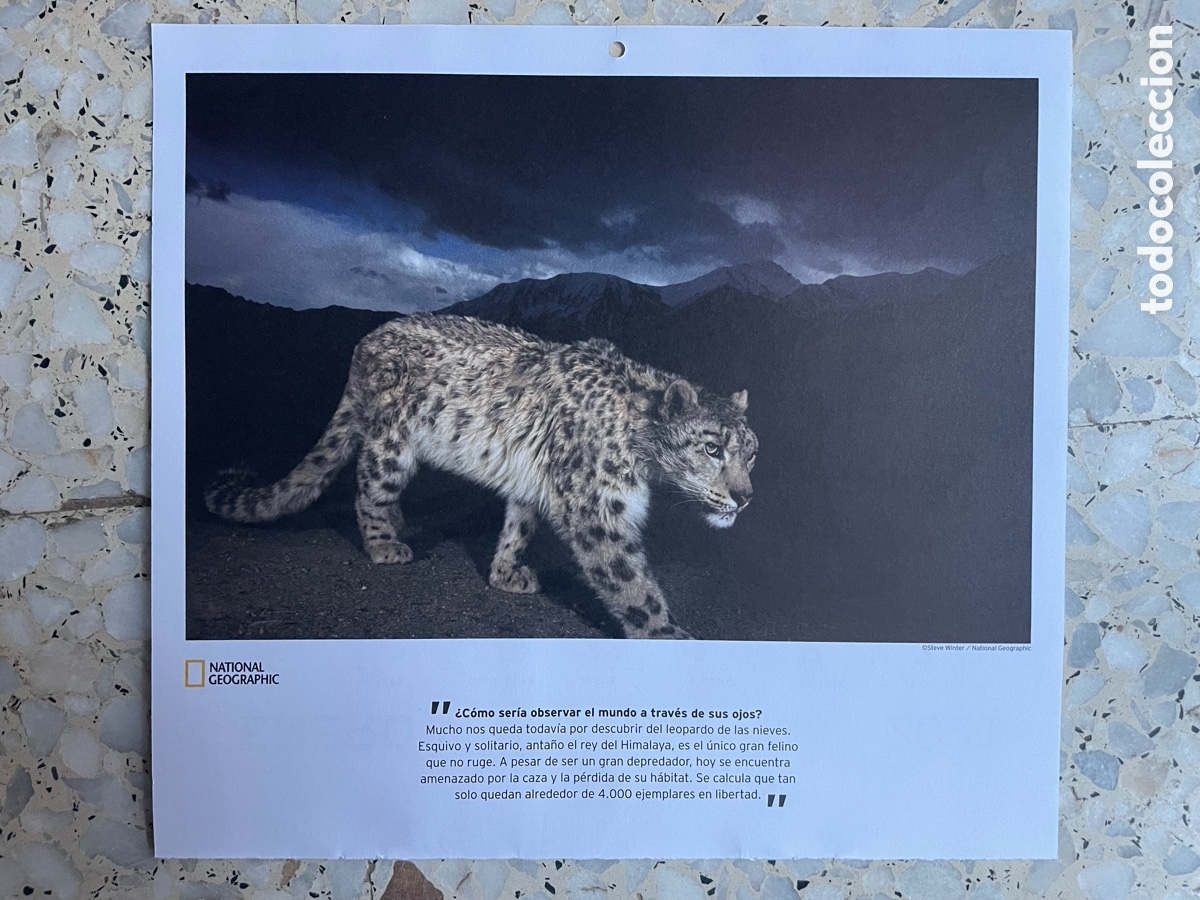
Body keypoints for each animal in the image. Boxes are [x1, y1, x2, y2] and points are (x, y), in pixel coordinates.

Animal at [204, 313, 757, 639]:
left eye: (751, 453)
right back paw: (385, 543)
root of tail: (364, 343)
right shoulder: (598, 511)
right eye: (712, 448)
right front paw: (669, 635)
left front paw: (506, 573)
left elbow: (519, 524)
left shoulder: (535, 484)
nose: (745, 497)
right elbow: (632, 583)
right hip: (392, 446)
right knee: (368, 487)